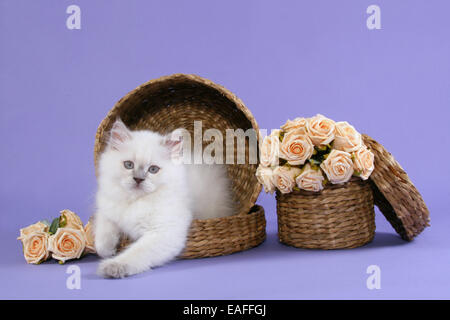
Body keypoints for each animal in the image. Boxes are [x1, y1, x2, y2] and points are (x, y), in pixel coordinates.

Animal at [95, 118, 236, 278]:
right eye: (128, 165)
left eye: (153, 169)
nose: (138, 179)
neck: (137, 201)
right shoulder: (106, 210)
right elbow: (102, 235)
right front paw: (108, 250)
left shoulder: (163, 232)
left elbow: (135, 253)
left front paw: (113, 265)